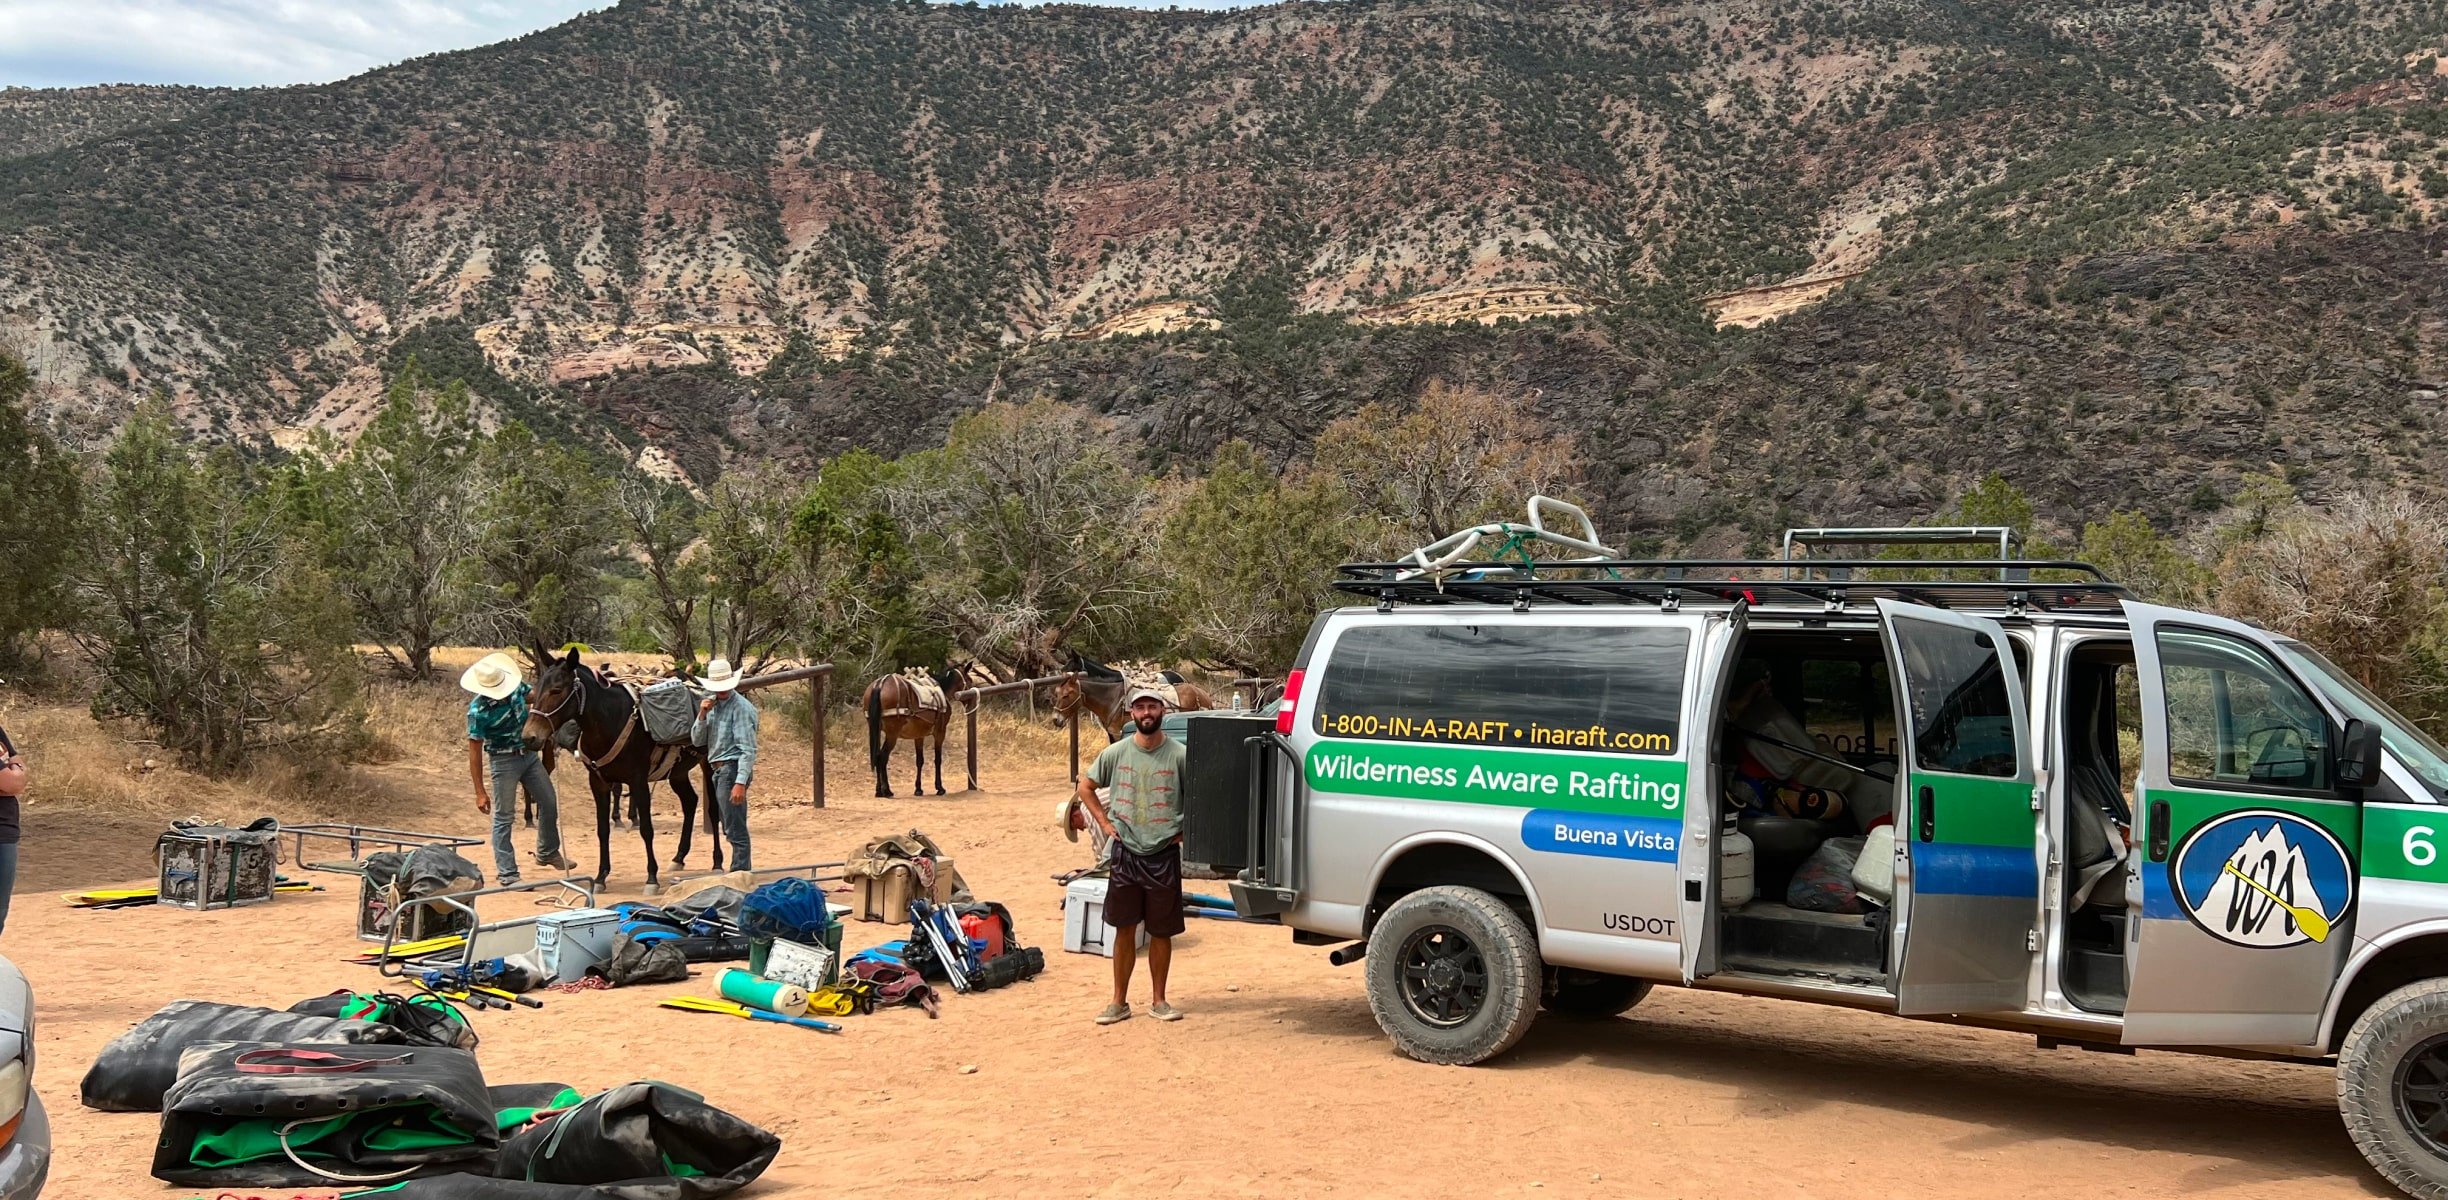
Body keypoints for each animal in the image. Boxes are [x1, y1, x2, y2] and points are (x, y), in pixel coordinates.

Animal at [861, 666, 964, 798]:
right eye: (968, 679)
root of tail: (880, 684)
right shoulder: (940, 732)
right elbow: (937, 760)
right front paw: (939, 788)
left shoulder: (919, 735)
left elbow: (919, 761)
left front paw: (918, 789)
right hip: (892, 734)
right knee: (882, 757)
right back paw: (887, 790)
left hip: (876, 729)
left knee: (877, 756)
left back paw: (879, 791)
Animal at [1047, 656, 1209, 739]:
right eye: (1058, 693)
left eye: (1066, 695)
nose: (1055, 719)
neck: (1113, 698)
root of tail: (1202, 693)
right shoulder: (1112, 733)